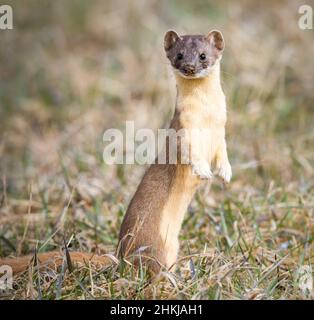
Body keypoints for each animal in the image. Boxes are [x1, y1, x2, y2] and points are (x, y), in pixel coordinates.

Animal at [0, 29, 231, 276]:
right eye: (179, 55)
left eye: (203, 55)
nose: (189, 66)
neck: (206, 117)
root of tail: (121, 255)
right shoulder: (183, 128)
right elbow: (190, 152)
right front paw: (203, 170)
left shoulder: (221, 128)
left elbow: (222, 151)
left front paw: (225, 173)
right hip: (154, 245)